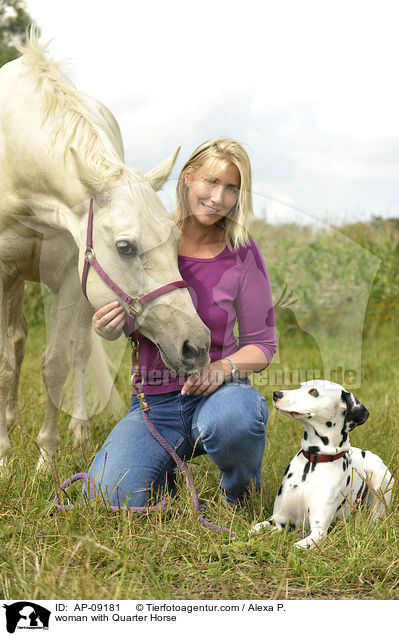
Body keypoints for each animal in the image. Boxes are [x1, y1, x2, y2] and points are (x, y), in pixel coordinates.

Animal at [0, 34, 211, 470]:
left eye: (176, 242)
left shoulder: (71, 275)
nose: (197, 345)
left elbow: (56, 364)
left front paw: (46, 461)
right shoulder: (1, 271)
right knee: (17, 343)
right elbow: (5, 366)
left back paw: (79, 429)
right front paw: (4, 455)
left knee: (79, 351)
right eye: (125, 247)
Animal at [253, 380, 394, 548]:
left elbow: (296, 547)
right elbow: (255, 528)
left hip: (379, 482)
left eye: (314, 392)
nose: (276, 394)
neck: (314, 460)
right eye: (301, 386)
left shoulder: (318, 532)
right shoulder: (279, 519)